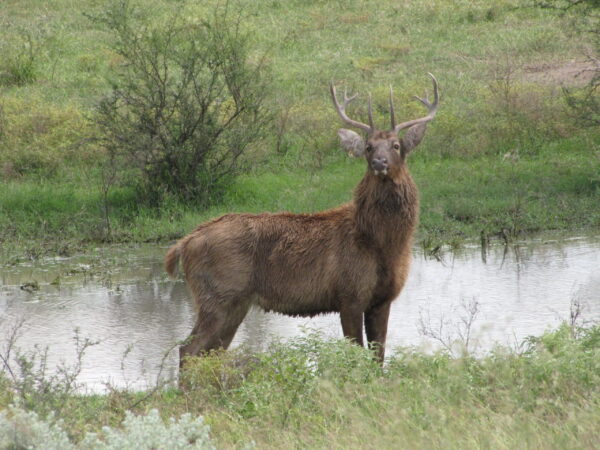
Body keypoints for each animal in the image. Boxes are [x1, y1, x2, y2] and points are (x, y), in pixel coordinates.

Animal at [166, 74, 438, 368]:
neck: (383, 244)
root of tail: (184, 243)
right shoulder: (349, 295)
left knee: (210, 352)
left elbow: (378, 358)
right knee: (188, 349)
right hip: (217, 295)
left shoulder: (383, 299)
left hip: (234, 303)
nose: (379, 162)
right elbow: (355, 355)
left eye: (396, 146)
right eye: (368, 147)